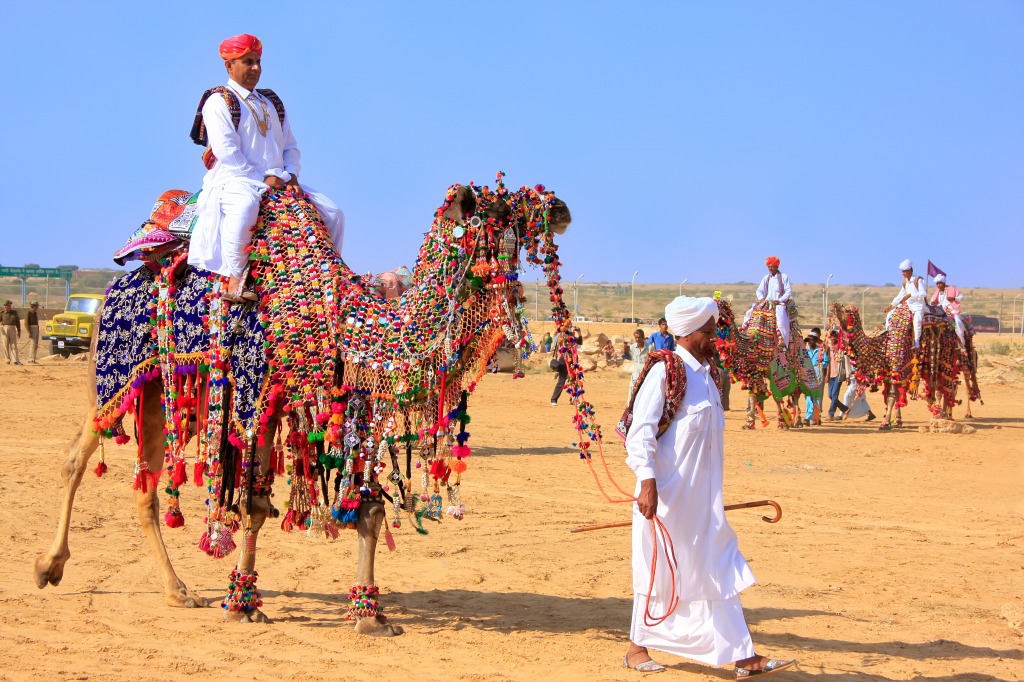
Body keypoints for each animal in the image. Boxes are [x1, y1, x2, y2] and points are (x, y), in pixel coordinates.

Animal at [34, 174, 569, 630]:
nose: (561, 209)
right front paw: (243, 604)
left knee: (143, 486)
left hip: (158, 396)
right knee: (75, 458)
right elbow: (252, 502)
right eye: (497, 212)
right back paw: (49, 566)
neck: (352, 321)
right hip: (113, 378)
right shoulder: (258, 400)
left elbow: (368, 506)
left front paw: (369, 614)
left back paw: (177, 590)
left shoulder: (356, 401)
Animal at [827, 301, 978, 425]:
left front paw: (886, 423)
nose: (834, 304)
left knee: (946, 387)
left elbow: (893, 395)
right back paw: (941, 413)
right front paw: (897, 420)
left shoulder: (897, 364)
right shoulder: (891, 369)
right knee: (940, 387)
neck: (884, 342)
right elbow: (897, 394)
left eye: (846, 309)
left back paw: (945, 415)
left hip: (945, 357)